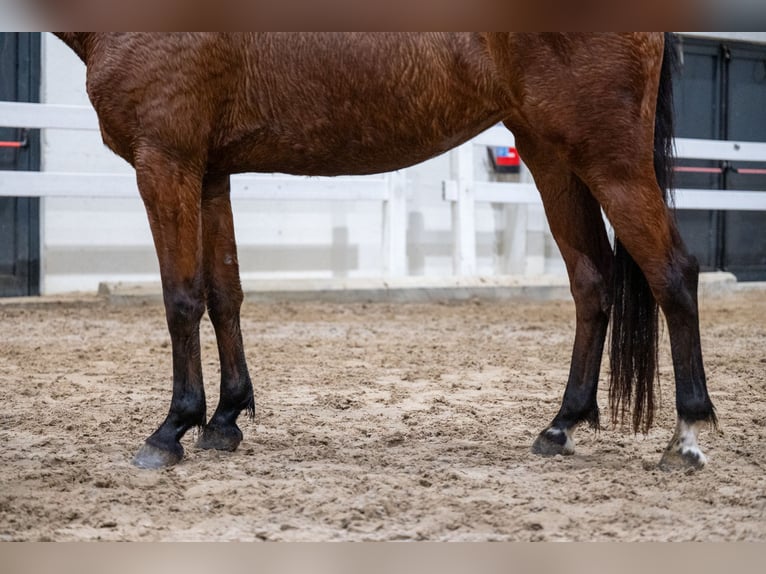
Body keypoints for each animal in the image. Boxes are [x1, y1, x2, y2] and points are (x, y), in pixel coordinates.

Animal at [55, 32, 720, 472]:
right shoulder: (210, 172)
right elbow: (224, 295)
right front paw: (224, 419)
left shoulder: (166, 162)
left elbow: (181, 299)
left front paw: (172, 429)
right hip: (551, 153)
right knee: (592, 282)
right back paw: (561, 427)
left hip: (608, 157)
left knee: (672, 274)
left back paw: (686, 437)